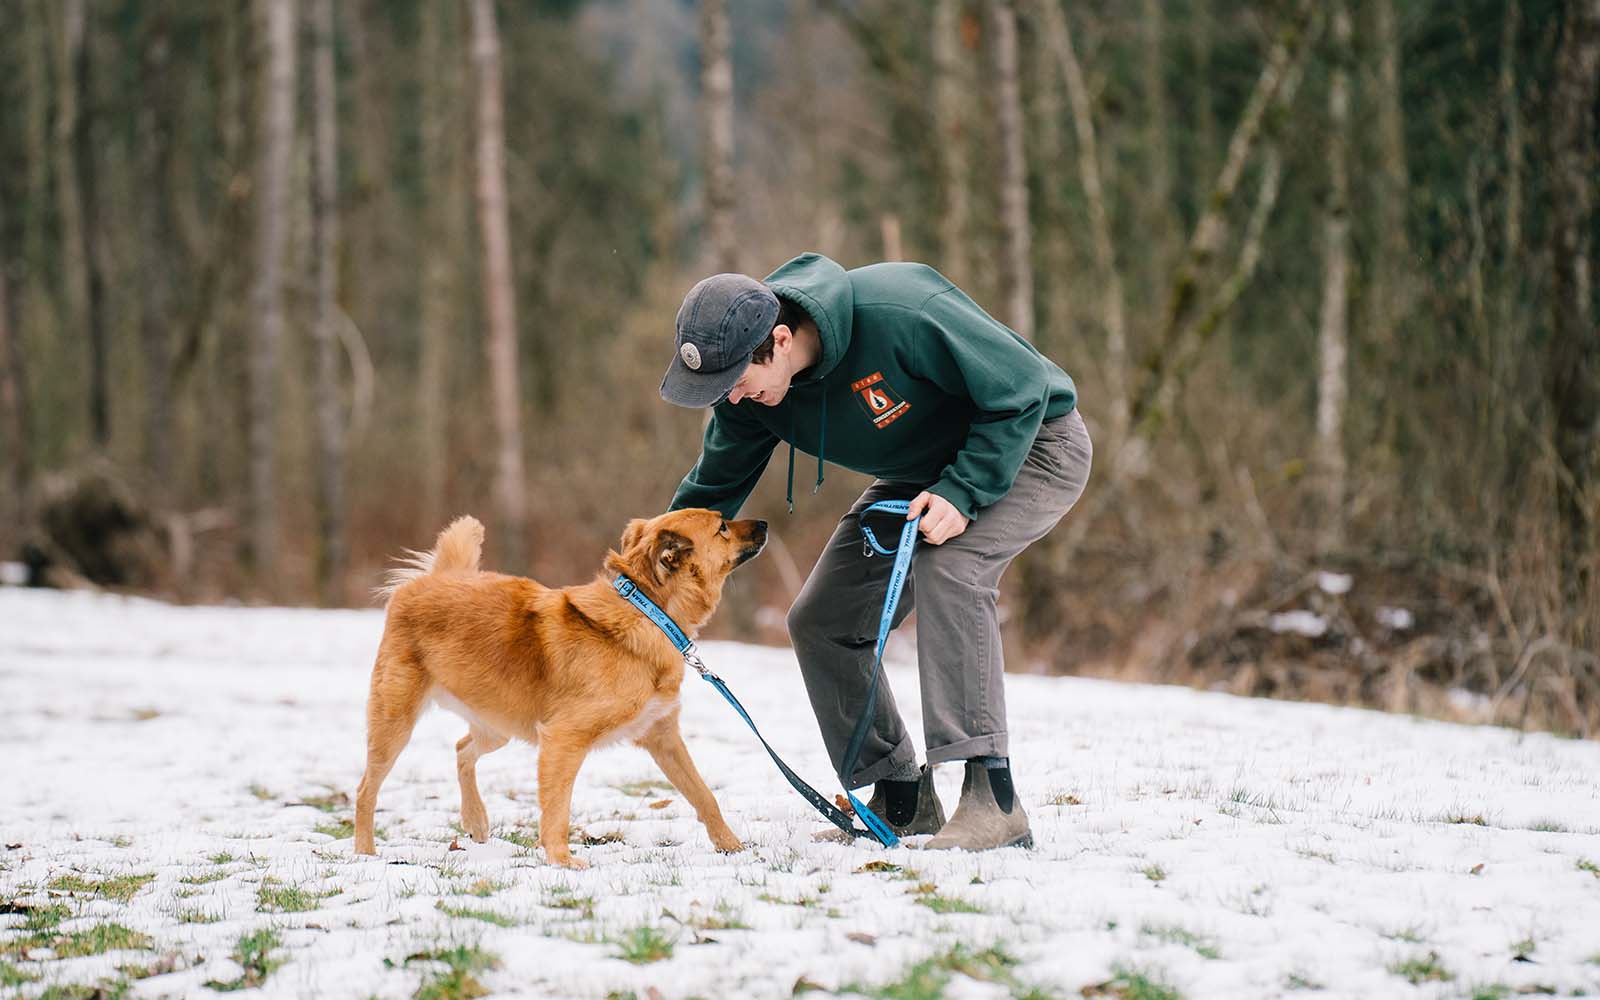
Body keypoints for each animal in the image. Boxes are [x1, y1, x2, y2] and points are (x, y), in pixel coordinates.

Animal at [356, 505, 768, 864]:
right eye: (722, 527)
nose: (765, 523)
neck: (648, 612)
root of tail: (433, 579)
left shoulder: (663, 737)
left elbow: (703, 795)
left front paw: (731, 846)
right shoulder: (563, 740)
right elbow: (557, 808)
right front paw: (561, 861)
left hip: (499, 724)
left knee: (461, 750)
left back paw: (476, 820)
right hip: (395, 722)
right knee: (365, 790)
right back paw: (365, 852)